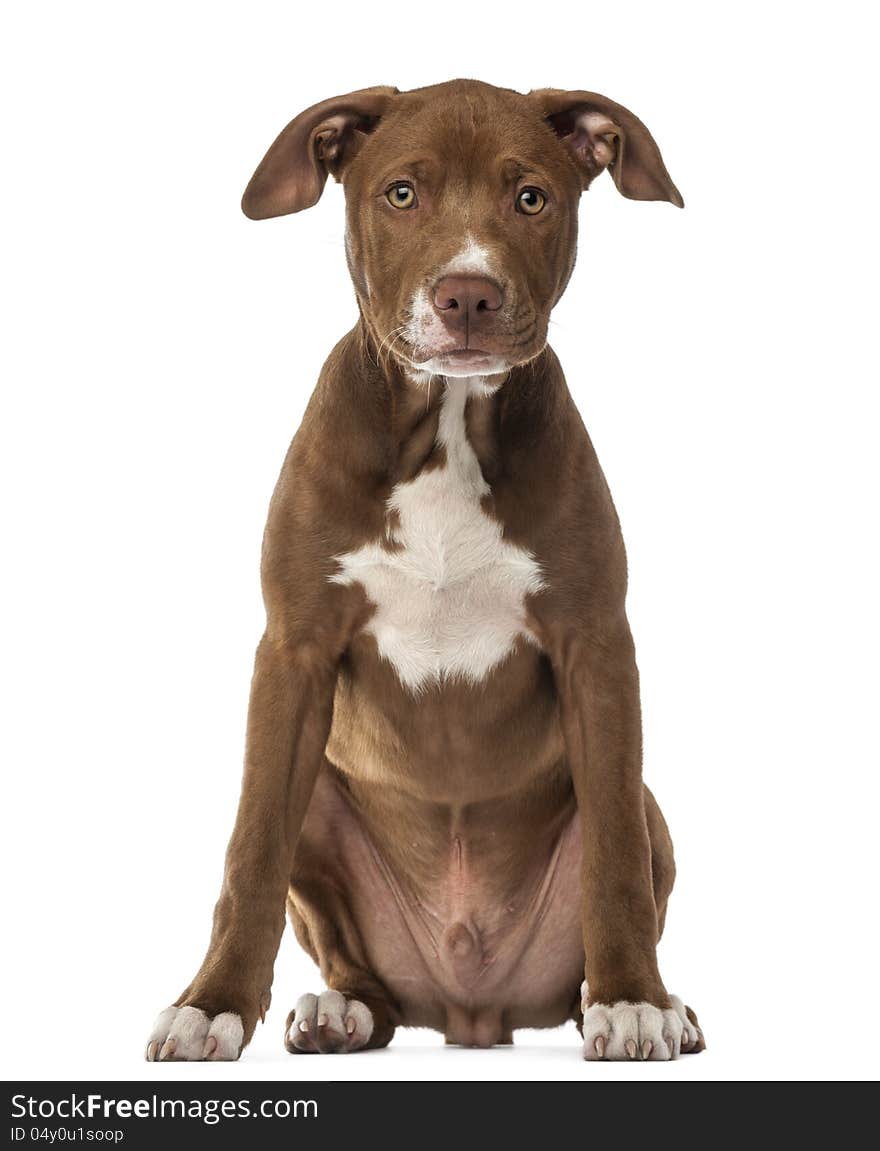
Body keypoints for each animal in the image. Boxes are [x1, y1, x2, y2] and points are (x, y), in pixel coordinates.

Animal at [147, 81, 704, 1063]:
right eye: (401, 194)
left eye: (531, 198)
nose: (467, 294)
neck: (446, 422)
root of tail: (473, 1011)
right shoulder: (292, 650)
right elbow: (250, 852)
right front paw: (209, 1005)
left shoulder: (597, 647)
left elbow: (613, 862)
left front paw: (634, 999)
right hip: (322, 804)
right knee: (351, 954)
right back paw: (339, 1010)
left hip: (651, 807)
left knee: (625, 851)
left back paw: (651, 1001)